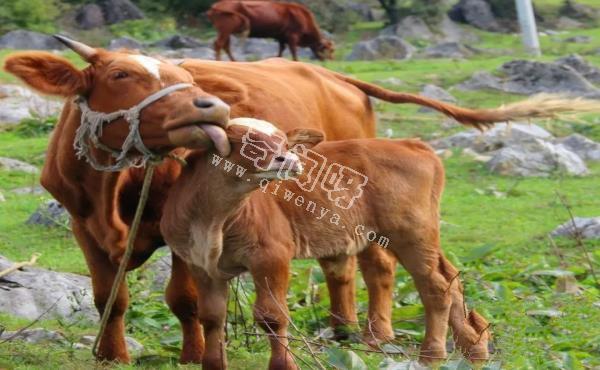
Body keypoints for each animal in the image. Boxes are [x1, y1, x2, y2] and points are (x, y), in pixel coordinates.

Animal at [161, 119, 492, 370]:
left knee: (435, 285)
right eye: (246, 142)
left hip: (410, 233)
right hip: (419, 236)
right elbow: (211, 317)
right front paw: (213, 364)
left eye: (285, 143)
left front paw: (284, 365)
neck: (212, 219)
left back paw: (432, 354)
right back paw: (474, 349)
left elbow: (272, 316)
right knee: (451, 279)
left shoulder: (271, 256)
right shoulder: (200, 264)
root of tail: (411, 144)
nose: (290, 160)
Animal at [207, 0, 336, 60]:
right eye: (329, 50)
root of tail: (216, 5)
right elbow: (293, 52)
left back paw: (234, 62)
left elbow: (281, 50)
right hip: (226, 29)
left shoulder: (281, 37)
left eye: (333, 50)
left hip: (225, 31)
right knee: (219, 44)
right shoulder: (292, 36)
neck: (303, 17)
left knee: (225, 46)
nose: (330, 60)